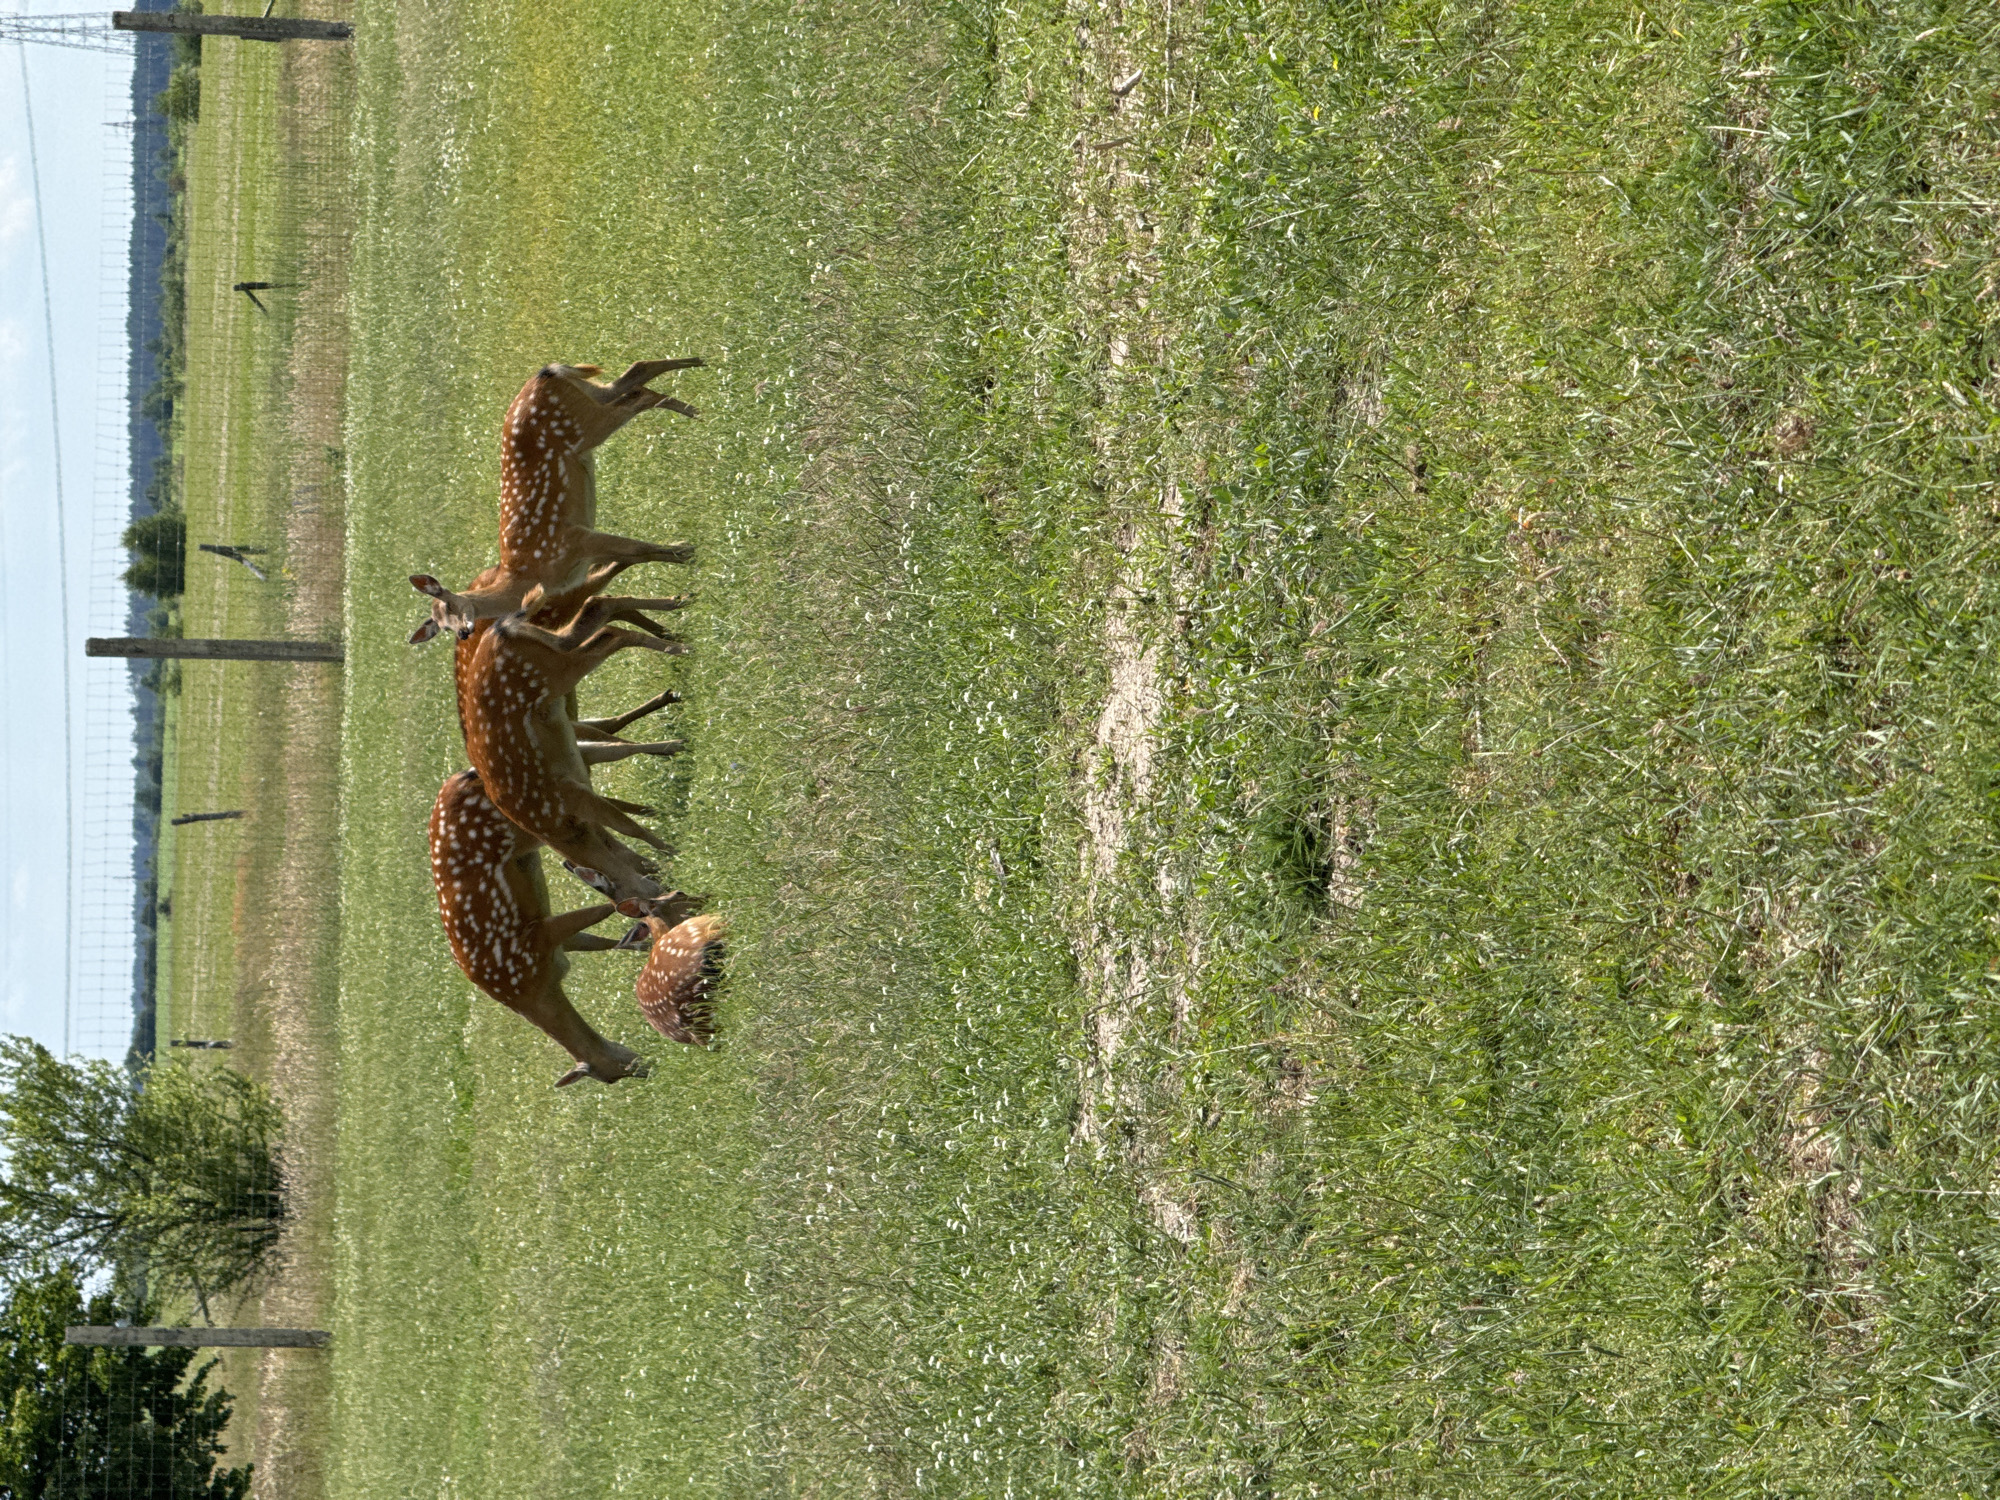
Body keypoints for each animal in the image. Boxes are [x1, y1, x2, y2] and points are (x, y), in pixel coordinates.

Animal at [408, 358, 703, 645]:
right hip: (587, 399)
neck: (526, 578)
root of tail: (545, 374)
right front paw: (685, 567)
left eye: (449, 602)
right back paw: (697, 385)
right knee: (633, 384)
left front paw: (687, 554)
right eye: (442, 627)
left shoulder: (574, 539)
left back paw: (696, 398)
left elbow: (640, 549)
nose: (463, 632)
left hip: (584, 424)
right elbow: (641, 555)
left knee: (637, 393)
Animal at [428, 768, 654, 1087]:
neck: (535, 990)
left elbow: (605, 908)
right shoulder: (555, 944)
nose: (648, 1068)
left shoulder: (537, 937)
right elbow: (604, 941)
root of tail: (466, 773)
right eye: (612, 1078)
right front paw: (648, 943)